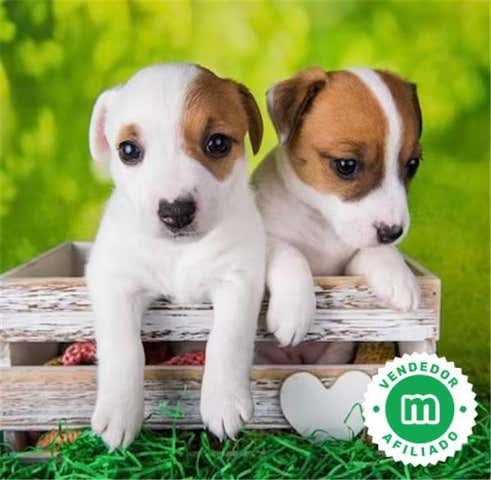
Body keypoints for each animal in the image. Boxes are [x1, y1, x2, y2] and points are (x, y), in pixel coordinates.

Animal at [86, 63, 265, 450]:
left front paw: (223, 400)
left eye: (217, 143)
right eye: (128, 150)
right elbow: (124, 347)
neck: (178, 252)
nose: (176, 212)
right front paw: (120, 411)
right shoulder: (113, 281)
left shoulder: (238, 278)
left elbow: (226, 337)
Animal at [253, 67, 431, 364]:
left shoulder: (345, 271)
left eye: (413, 165)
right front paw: (294, 309)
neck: (322, 223)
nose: (392, 233)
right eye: (346, 165)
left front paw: (398, 275)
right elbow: (289, 251)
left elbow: (373, 252)